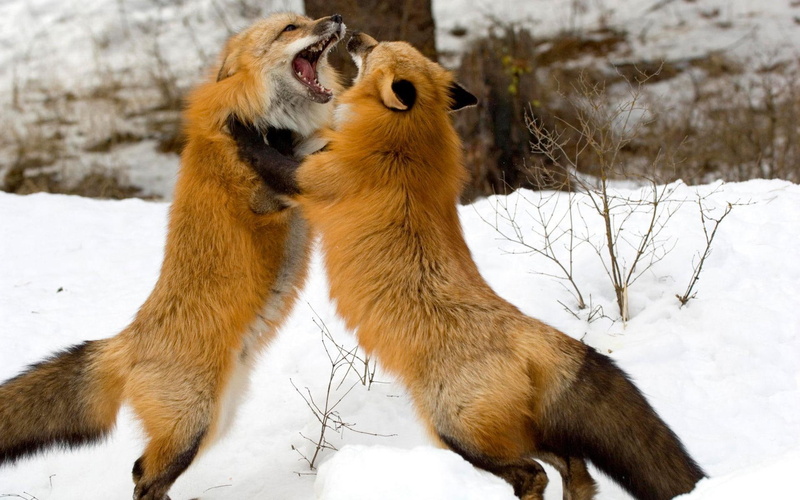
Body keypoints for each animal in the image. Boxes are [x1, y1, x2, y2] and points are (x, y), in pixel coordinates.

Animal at [0, 13, 345, 500]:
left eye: (303, 21)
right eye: (291, 29)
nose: (335, 18)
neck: (265, 119)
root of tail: (126, 341)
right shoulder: (269, 196)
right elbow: (300, 157)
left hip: (216, 419)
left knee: (144, 472)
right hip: (193, 425)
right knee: (142, 475)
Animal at [231, 33, 707, 500]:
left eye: (374, 48)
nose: (354, 34)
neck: (405, 143)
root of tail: (535, 334)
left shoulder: (313, 179)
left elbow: (267, 157)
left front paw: (242, 127)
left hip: (456, 430)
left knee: (535, 473)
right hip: (510, 432)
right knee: (573, 465)